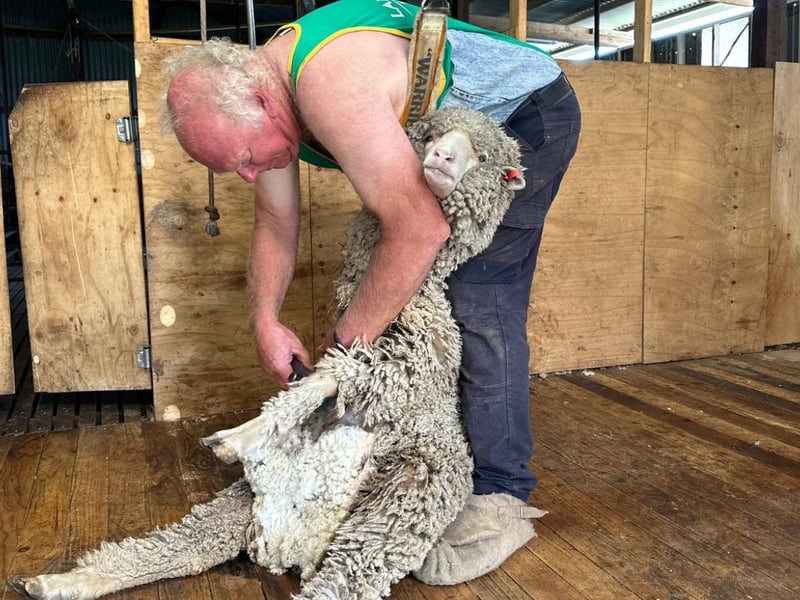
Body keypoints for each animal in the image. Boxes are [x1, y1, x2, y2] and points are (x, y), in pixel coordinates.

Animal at [9, 108, 528, 600]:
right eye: (428, 136)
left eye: (484, 158)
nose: (441, 157)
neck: (423, 293)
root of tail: (291, 546)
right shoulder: (389, 358)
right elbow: (325, 374)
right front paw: (259, 423)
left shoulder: (409, 363)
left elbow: (329, 376)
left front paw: (244, 433)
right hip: (238, 512)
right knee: (163, 552)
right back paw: (51, 583)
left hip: (386, 521)